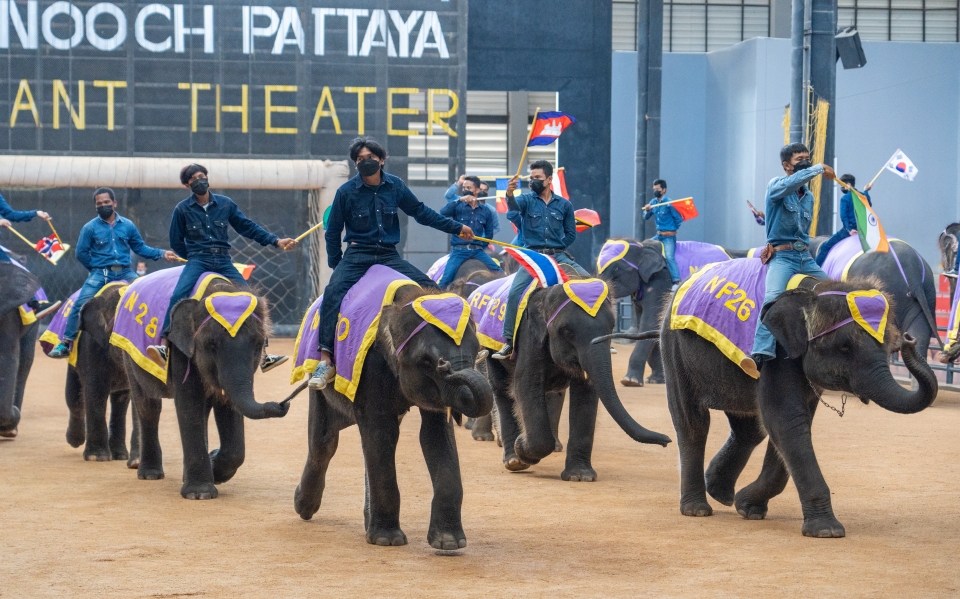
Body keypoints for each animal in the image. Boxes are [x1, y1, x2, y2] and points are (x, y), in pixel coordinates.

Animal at [62, 284, 140, 466]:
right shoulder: (91, 346)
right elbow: (95, 391)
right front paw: (97, 457)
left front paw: (132, 461)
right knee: (74, 398)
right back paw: (75, 440)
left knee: (120, 402)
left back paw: (120, 455)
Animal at [120, 276, 286, 496]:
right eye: (211, 345)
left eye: (259, 345)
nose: (281, 405)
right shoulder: (180, 349)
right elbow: (190, 404)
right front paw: (199, 494)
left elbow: (228, 406)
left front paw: (215, 470)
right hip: (130, 355)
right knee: (148, 405)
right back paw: (150, 474)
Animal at [292, 284, 492, 548]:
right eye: (426, 361)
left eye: (476, 349)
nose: (445, 366)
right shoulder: (371, 367)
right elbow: (382, 435)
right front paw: (387, 540)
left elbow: (435, 435)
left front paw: (449, 543)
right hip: (317, 378)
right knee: (324, 442)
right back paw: (304, 507)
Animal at [652, 278, 936, 540]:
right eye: (844, 346)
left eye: (889, 346)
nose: (910, 340)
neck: (814, 293)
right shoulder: (775, 354)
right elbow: (786, 422)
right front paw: (827, 531)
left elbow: (792, 425)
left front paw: (748, 508)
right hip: (674, 347)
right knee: (693, 423)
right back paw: (697, 509)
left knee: (748, 431)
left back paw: (720, 494)